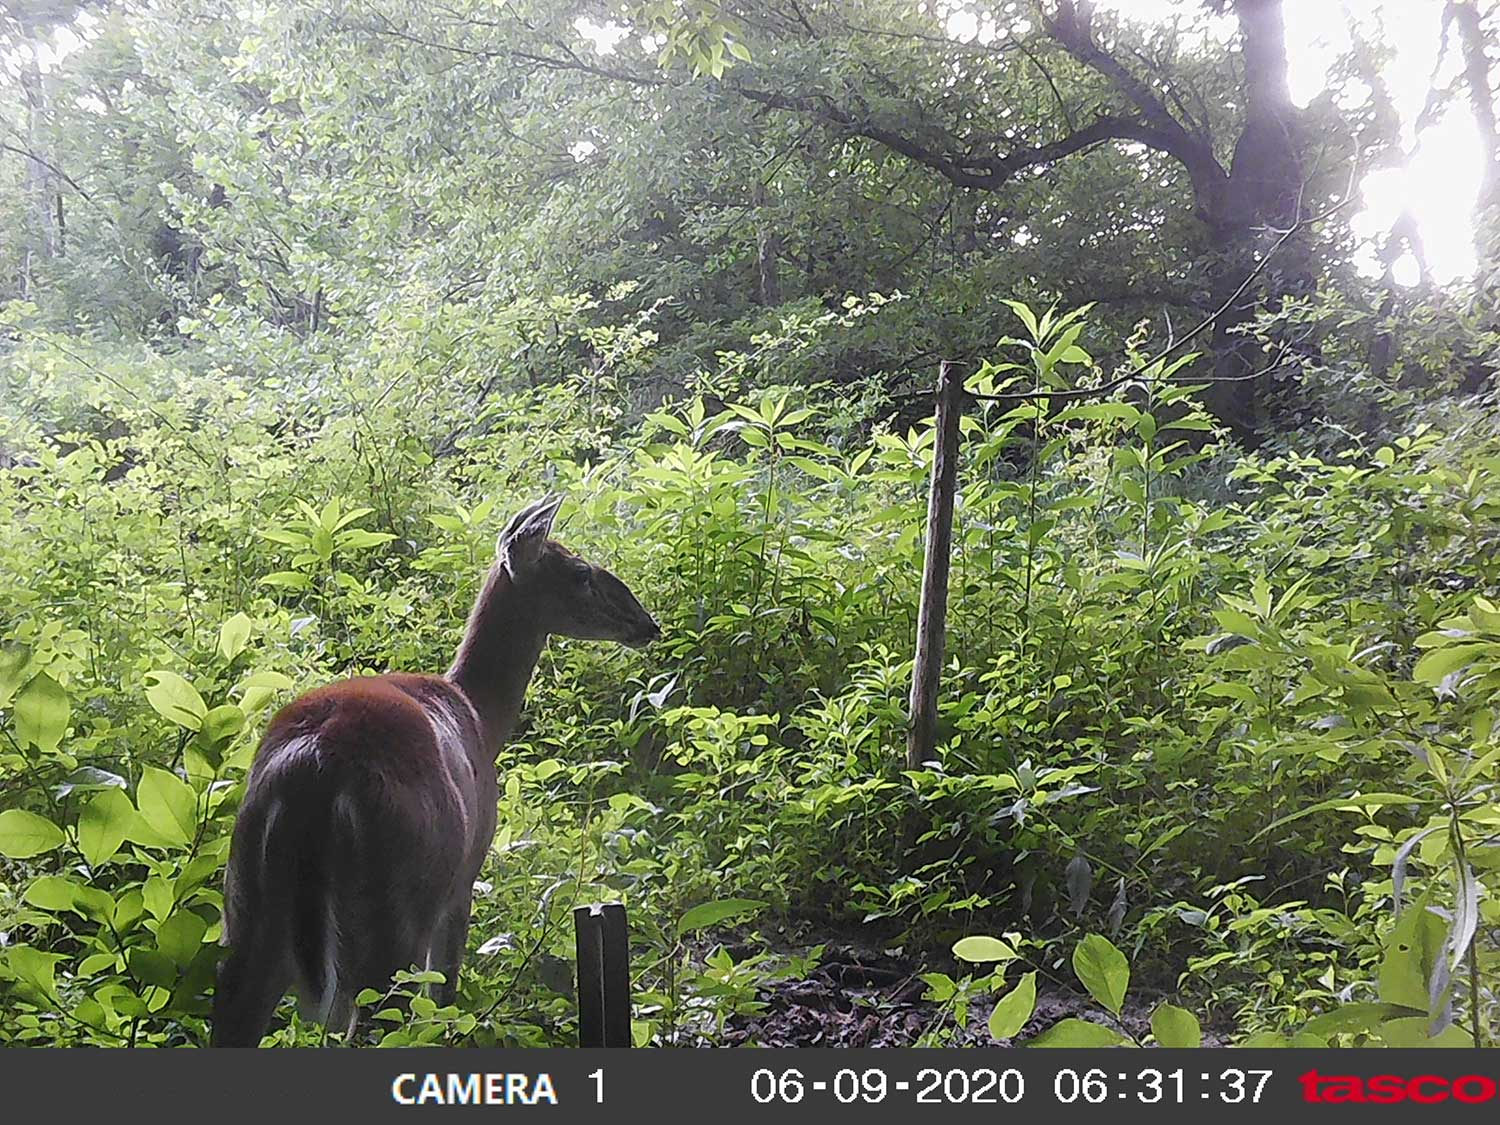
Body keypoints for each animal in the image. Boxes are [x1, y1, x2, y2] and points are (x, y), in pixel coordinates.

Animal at [211, 498, 657, 1056]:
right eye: (580, 572)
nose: (646, 622)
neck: (480, 715)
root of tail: (313, 767)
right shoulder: (465, 877)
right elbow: (446, 992)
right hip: (393, 912)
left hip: (244, 911)